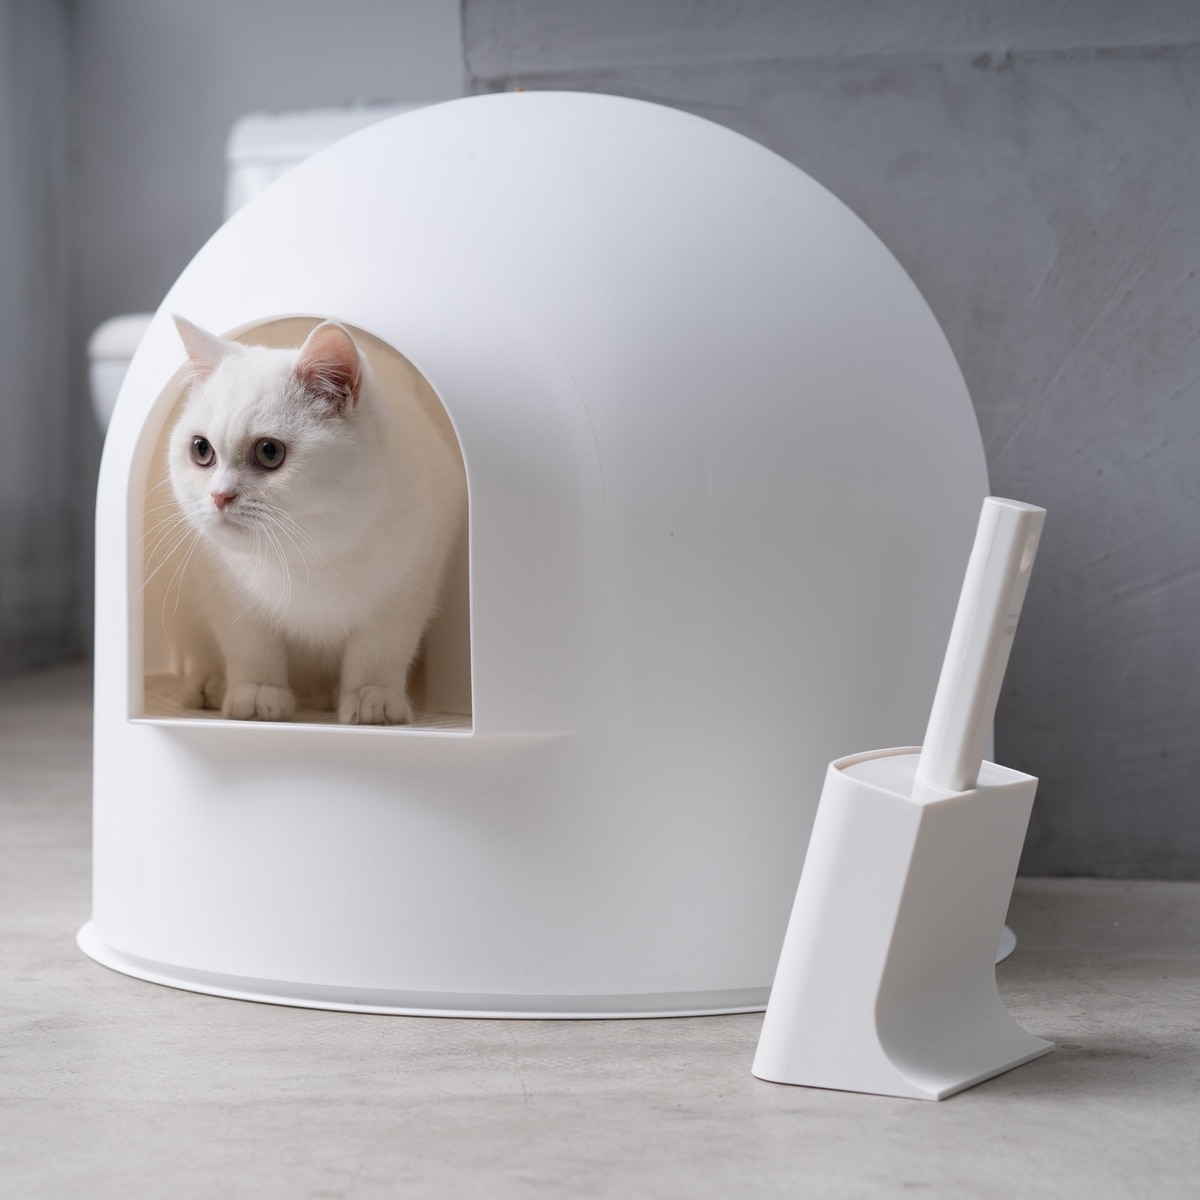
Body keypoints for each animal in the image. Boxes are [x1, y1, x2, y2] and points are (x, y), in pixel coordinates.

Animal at [162, 317, 465, 725]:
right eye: (201, 449)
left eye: (269, 452)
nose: (219, 496)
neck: (308, 553)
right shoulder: (227, 594)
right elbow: (251, 648)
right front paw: (256, 694)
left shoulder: (407, 590)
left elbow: (380, 651)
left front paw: (372, 698)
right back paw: (209, 685)